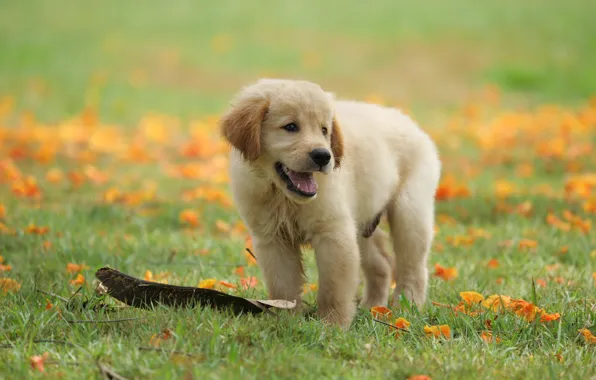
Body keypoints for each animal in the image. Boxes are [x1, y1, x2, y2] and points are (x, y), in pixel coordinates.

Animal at [219, 78, 438, 328]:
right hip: (361, 224)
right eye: (290, 127)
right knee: (382, 265)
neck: (283, 197)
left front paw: (333, 325)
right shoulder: (272, 238)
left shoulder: (334, 233)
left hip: (409, 212)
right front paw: (287, 319)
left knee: (413, 269)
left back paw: (406, 309)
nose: (323, 156)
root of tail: (411, 124)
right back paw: (372, 307)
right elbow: (283, 285)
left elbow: (334, 288)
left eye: (324, 130)